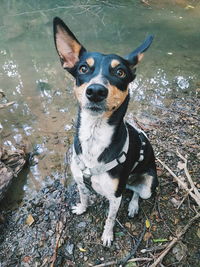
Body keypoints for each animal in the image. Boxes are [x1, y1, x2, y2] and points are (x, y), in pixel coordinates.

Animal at [52, 16, 158, 247]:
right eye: (83, 69)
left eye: (120, 72)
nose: (96, 91)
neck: (94, 135)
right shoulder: (80, 181)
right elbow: (84, 197)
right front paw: (82, 208)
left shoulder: (115, 196)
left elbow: (110, 218)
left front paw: (107, 235)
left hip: (148, 186)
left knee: (136, 193)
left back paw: (133, 205)